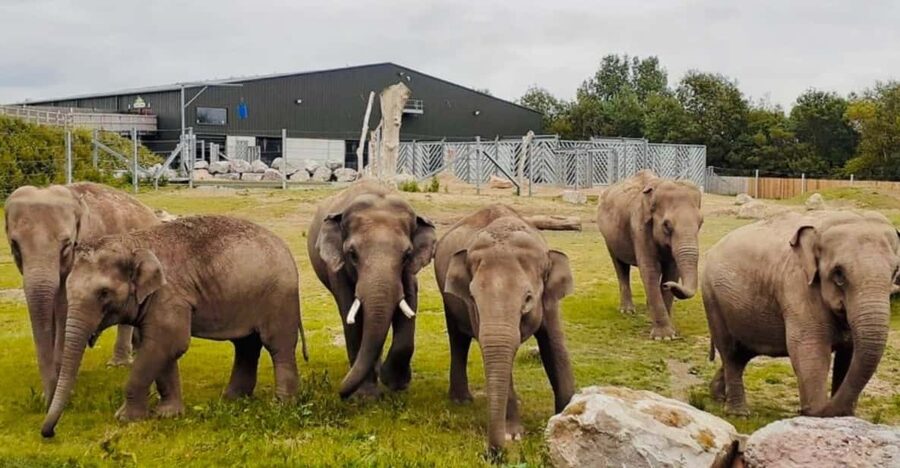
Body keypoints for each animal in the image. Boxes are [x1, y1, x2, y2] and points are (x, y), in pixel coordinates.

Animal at [41, 215, 308, 437]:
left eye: (104, 293)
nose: (49, 433)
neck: (134, 243)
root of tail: (287, 251)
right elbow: (160, 348)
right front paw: (168, 414)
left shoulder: (168, 296)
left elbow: (169, 343)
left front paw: (125, 418)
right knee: (246, 345)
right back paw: (232, 400)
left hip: (278, 297)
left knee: (277, 346)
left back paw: (281, 405)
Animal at [308, 180, 436, 399]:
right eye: (352, 254)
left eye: (407, 255)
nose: (340, 393)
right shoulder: (338, 269)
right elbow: (352, 315)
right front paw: (365, 396)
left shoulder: (410, 271)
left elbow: (409, 302)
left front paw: (394, 383)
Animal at [434, 204, 575, 452]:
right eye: (473, 297)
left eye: (528, 298)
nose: (494, 452)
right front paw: (513, 435)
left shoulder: (549, 301)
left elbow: (554, 347)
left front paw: (567, 416)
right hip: (447, 296)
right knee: (457, 338)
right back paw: (462, 400)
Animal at [597, 170, 702, 340]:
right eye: (667, 225)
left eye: (701, 223)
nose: (667, 286)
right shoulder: (639, 226)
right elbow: (650, 270)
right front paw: (664, 337)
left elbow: (672, 271)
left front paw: (670, 332)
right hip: (608, 238)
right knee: (620, 267)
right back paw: (627, 311)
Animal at [702, 211, 899, 416]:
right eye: (838, 274)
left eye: (895, 271)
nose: (803, 409)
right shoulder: (798, 286)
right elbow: (810, 347)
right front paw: (816, 413)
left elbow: (849, 354)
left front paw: (844, 416)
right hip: (712, 299)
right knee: (730, 352)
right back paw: (738, 413)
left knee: (742, 353)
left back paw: (717, 396)